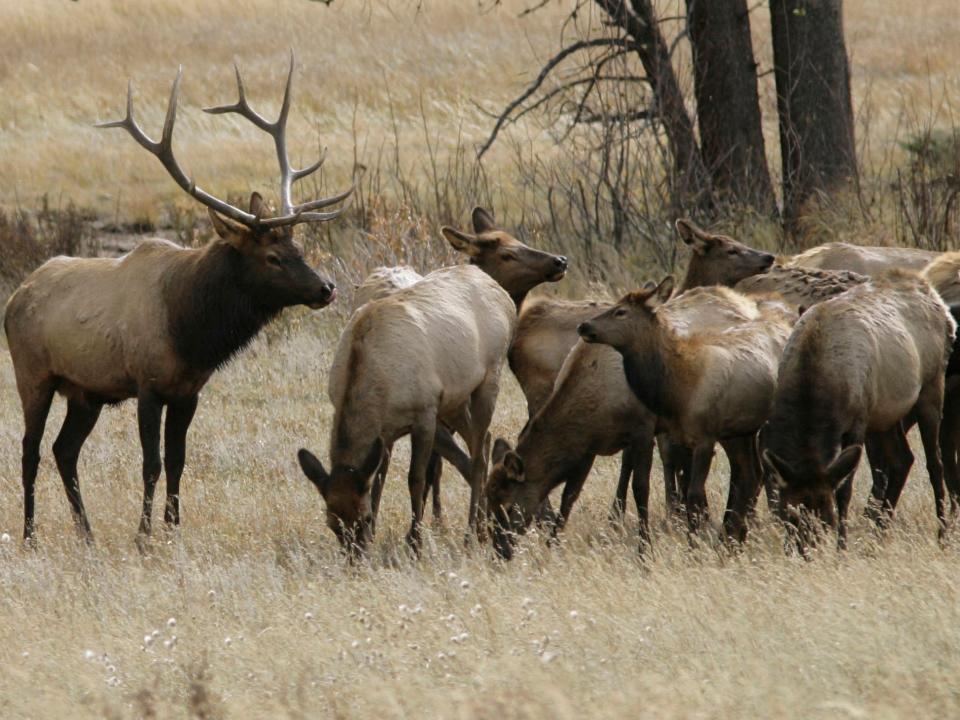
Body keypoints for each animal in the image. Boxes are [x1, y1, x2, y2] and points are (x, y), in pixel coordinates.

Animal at [3, 54, 352, 540]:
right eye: (272, 257)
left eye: (298, 247)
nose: (326, 288)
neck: (190, 332)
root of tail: (15, 297)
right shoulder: (147, 383)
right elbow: (150, 462)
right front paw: (144, 535)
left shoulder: (189, 391)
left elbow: (177, 462)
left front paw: (173, 528)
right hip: (34, 372)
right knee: (30, 449)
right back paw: (31, 534)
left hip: (86, 392)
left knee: (63, 450)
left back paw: (87, 533)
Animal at [300, 207, 568, 552]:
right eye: (333, 524)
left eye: (363, 519)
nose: (356, 556)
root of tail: (494, 286)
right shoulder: (386, 432)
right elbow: (379, 478)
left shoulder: (425, 412)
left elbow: (415, 478)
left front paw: (415, 542)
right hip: (456, 397)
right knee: (478, 443)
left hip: (488, 378)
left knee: (479, 453)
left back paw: (473, 531)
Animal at [760, 272, 956, 552]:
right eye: (790, 514)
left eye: (827, 517)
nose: (807, 551)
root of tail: (933, 295)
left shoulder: (858, 421)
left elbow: (845, 490)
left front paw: (842, 548)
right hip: (886, 413)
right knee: (903, 459)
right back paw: (879, 533)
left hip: (931, 387)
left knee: (934, 463)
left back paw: (942, 534)